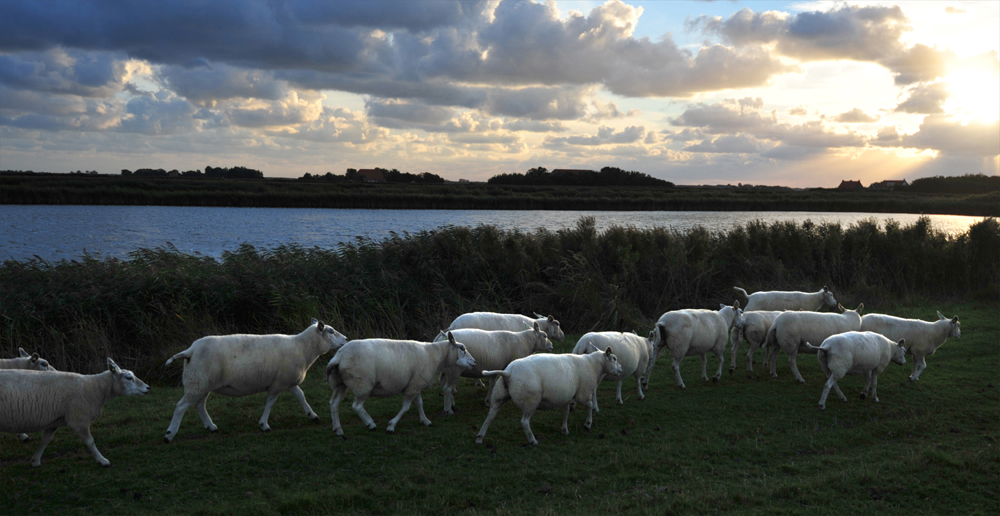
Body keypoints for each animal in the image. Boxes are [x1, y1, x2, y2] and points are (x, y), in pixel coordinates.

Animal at [0, 358, 149, 468]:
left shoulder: (55, 420)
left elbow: (45, 440)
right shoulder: (78, 418)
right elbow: (90, 441)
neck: (95, 387)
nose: (148, 387)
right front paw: (102, 460)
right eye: (129, 378)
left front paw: (35, 460)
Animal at [164, 316, 348, 442]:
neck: (303, 347)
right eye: (331, 331)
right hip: (197, 382)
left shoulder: (287, 381)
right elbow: (270, 402)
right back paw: (170, 434)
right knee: (181, 406)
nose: (346, 339)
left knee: (199, 405)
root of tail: (190, 350)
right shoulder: (278, 383)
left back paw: (211, 427)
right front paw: (264, 424)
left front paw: (312, 415)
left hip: (201, 383)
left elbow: (300, 395)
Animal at [322, 330, 474, 436]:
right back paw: (370, 424)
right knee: (357, 406)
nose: (474, 362)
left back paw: (338, 430)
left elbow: (419, 403)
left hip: (339, 383)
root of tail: (339, 356)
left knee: (333, 404)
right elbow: (406, 408)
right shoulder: (413, 386)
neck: (436, 355)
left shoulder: (416, 383)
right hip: (362, 384)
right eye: (462, 348)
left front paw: (425, 420)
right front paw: (391, 426)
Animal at [472, 348, 620, 446]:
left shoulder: (566, 395)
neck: (593, 366)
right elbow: (589, 405)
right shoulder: (583, 393)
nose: (621, 369)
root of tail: (508, 372)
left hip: (500, 396)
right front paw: (588, 424)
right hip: (530, 399)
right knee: (524, 422)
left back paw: (480, 438)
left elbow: (566, 412)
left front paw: (564, 429)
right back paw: (533, 440)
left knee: (490, 416)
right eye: (614, 358)